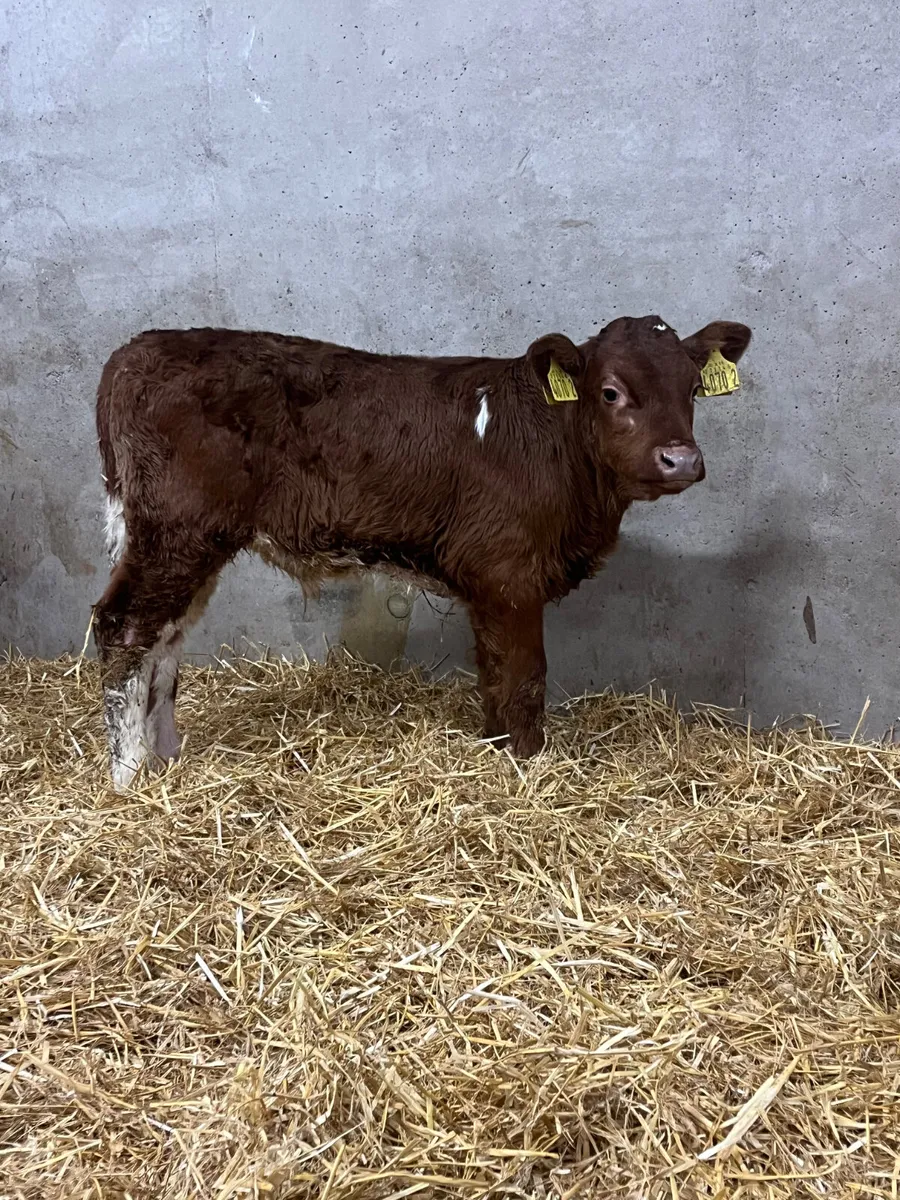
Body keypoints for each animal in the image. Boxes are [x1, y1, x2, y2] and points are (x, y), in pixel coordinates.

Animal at [93, 315, 751, 788]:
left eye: (694, 388)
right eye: (611, 392)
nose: (680, 460)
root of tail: (135, 350)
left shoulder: (490, 585)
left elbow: (495, 675)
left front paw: (499, 752)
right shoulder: (508, 572)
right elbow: (524, 678)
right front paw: (528, 769)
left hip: (189, 540)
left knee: (166, 638)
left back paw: (168, 758)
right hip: (176, 529)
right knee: (124, 629)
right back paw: (129, 775)